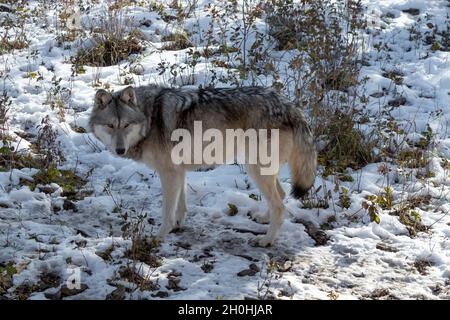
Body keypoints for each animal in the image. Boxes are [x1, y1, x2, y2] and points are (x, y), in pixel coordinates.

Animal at [89, 84, 316, 246]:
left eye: (126, 125)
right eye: (110, 126)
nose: (120, 150)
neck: (150, 118)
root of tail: (291, 106)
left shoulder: (169, 173)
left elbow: (166, 211)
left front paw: (159, 236)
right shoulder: (178, 172)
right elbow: (181, 205)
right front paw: (178, 225)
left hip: (255, 169)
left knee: (279, 205)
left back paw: (266, 240)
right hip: (261, 169)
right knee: (282, 195)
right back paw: (263, 219)